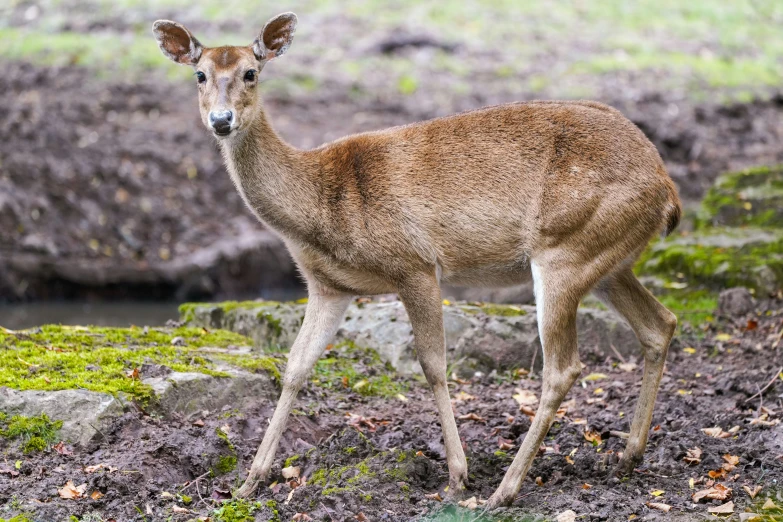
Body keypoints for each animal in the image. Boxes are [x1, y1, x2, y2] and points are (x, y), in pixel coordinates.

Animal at [153, 13, 680, 508]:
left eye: (251, 72)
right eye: (199, 74)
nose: (221, 119)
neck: (320, 206)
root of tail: (667, 188)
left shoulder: (415, 264)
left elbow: (433, 365)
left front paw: (458, 476)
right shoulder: (328, 285)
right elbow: (296, 367)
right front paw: (249, 482)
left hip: (564, 249)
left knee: (563, 367)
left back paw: (504, 490)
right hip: (607, 260)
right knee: (660, 323)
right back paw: (627, 456)